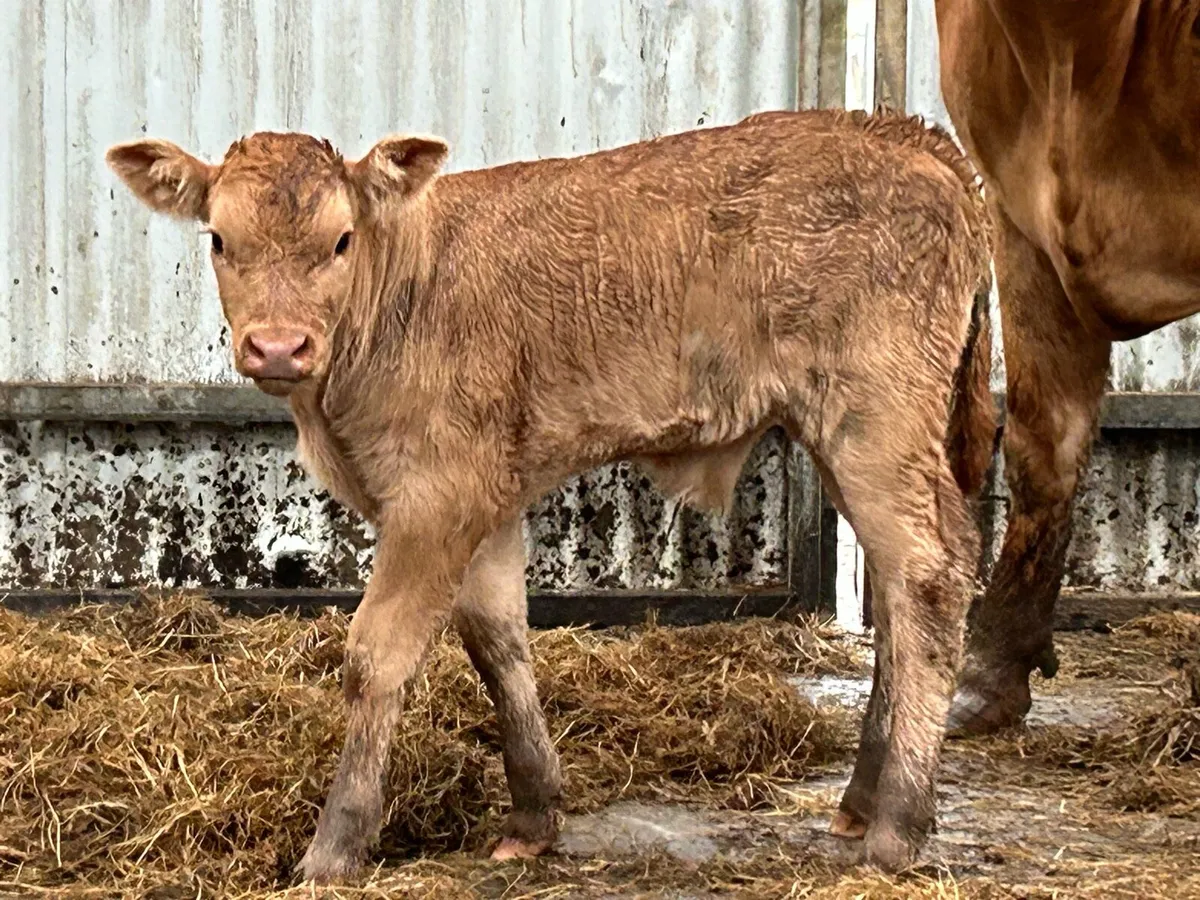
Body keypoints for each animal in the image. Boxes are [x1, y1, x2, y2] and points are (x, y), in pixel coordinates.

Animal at [106, 108, 994, 879]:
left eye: (340, 240)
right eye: (220, 239)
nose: (278, 346)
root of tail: (912, 138)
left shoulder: (437, 493)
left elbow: (378, 654)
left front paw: (335, 847)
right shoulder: (487, 494)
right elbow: (497, 640)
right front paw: (534, 814)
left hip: (878, 415)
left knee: (928, 575)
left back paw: (897, 825)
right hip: (847, 434)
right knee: (899, 587)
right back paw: (862, 797)